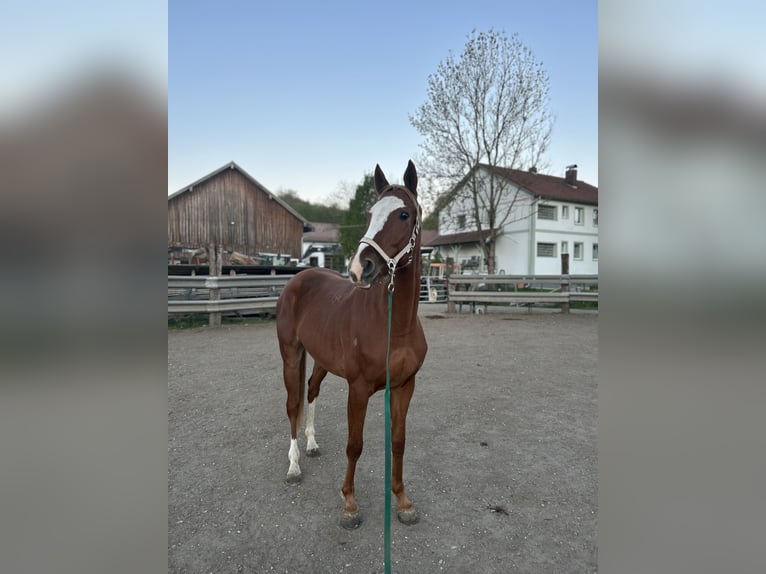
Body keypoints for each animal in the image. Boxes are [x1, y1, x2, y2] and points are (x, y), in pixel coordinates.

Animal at [276, 160, 427, 529]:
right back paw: (294, 465)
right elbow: (354, 445)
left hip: (321, 359)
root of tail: (300, 278)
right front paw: (349, 504)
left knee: (311, 390)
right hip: (290, 354)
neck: (393, 325)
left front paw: (402, 501)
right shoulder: (358, 389)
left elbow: (398, 441)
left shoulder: (404, 386)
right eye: (370, 213)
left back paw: (312, 444)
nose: (361, 267)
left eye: (404, 214)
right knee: (292, 403)